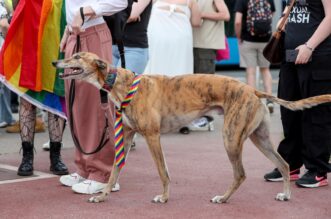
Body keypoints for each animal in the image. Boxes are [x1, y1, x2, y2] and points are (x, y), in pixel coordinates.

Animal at [52, 52, 331, 204]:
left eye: (77, 56)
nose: (55, 62)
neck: (122, 82)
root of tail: (253, 89)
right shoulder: (128, 136)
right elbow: (114, 171)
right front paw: (102, 196)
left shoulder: (152, 136)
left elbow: (163, 171)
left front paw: (164, 198)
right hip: (258, 137)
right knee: (283, 163)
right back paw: (285, 194)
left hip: (231, 137)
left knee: (240, 173)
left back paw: (223, 198)